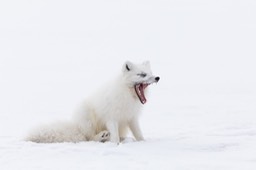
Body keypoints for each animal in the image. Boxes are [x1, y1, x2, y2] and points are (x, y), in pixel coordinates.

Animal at [25, 61, 158, 143]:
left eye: (151, 73)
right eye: (142, 75)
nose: (158, 77)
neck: (127, 95)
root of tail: (78, 127)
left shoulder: (132, 118)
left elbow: (138, 133)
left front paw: (143, 142)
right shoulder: (111, 117)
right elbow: (114, 136)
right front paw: (115, 144)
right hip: (87, 117)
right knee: (89, 138)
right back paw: (102, 136)